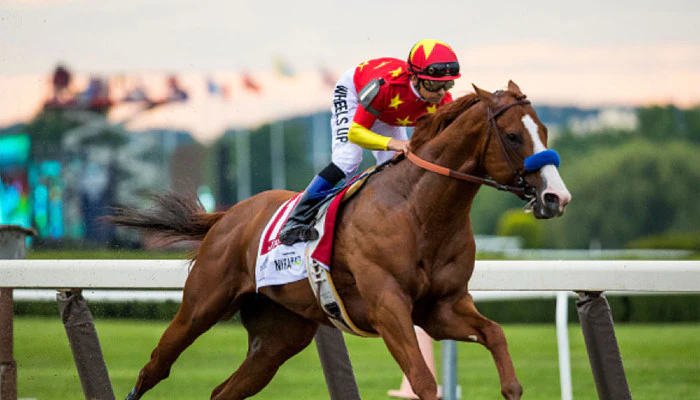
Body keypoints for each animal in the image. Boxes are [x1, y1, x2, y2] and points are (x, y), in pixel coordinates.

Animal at [112, 81, 571, 400]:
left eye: (545, 130)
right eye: (513, 136)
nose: (556, 197)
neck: (419, 211)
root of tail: (229, 216)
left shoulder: (441, 308)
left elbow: (496, 337)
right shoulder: (388, 307)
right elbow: (423, 382)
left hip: (278, 337)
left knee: (224, 391)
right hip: (201, 304)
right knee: (155, 368)